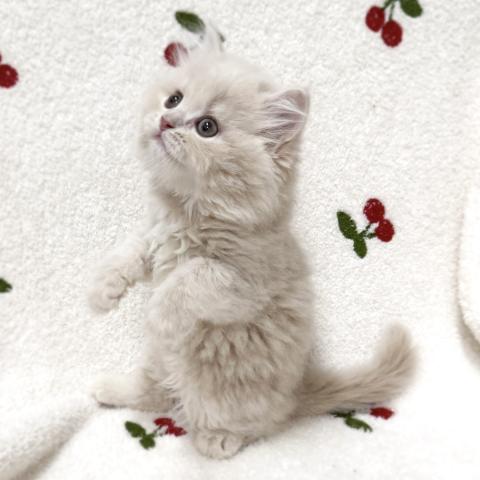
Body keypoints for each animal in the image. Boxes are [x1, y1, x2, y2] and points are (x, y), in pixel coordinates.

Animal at [88, 27, 416, 459]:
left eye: (207, 127)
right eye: (174, 98)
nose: (165, 120)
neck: (188, 211)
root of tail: (295, 396)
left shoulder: (241, 285)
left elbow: (191, 276)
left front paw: (157, 312)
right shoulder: (154, 235)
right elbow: (127, 254)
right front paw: (101, 293)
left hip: (219, 388)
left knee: (247, 423)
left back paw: (217, 440)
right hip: (160, 360)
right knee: (155, 390)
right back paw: (109, 388)